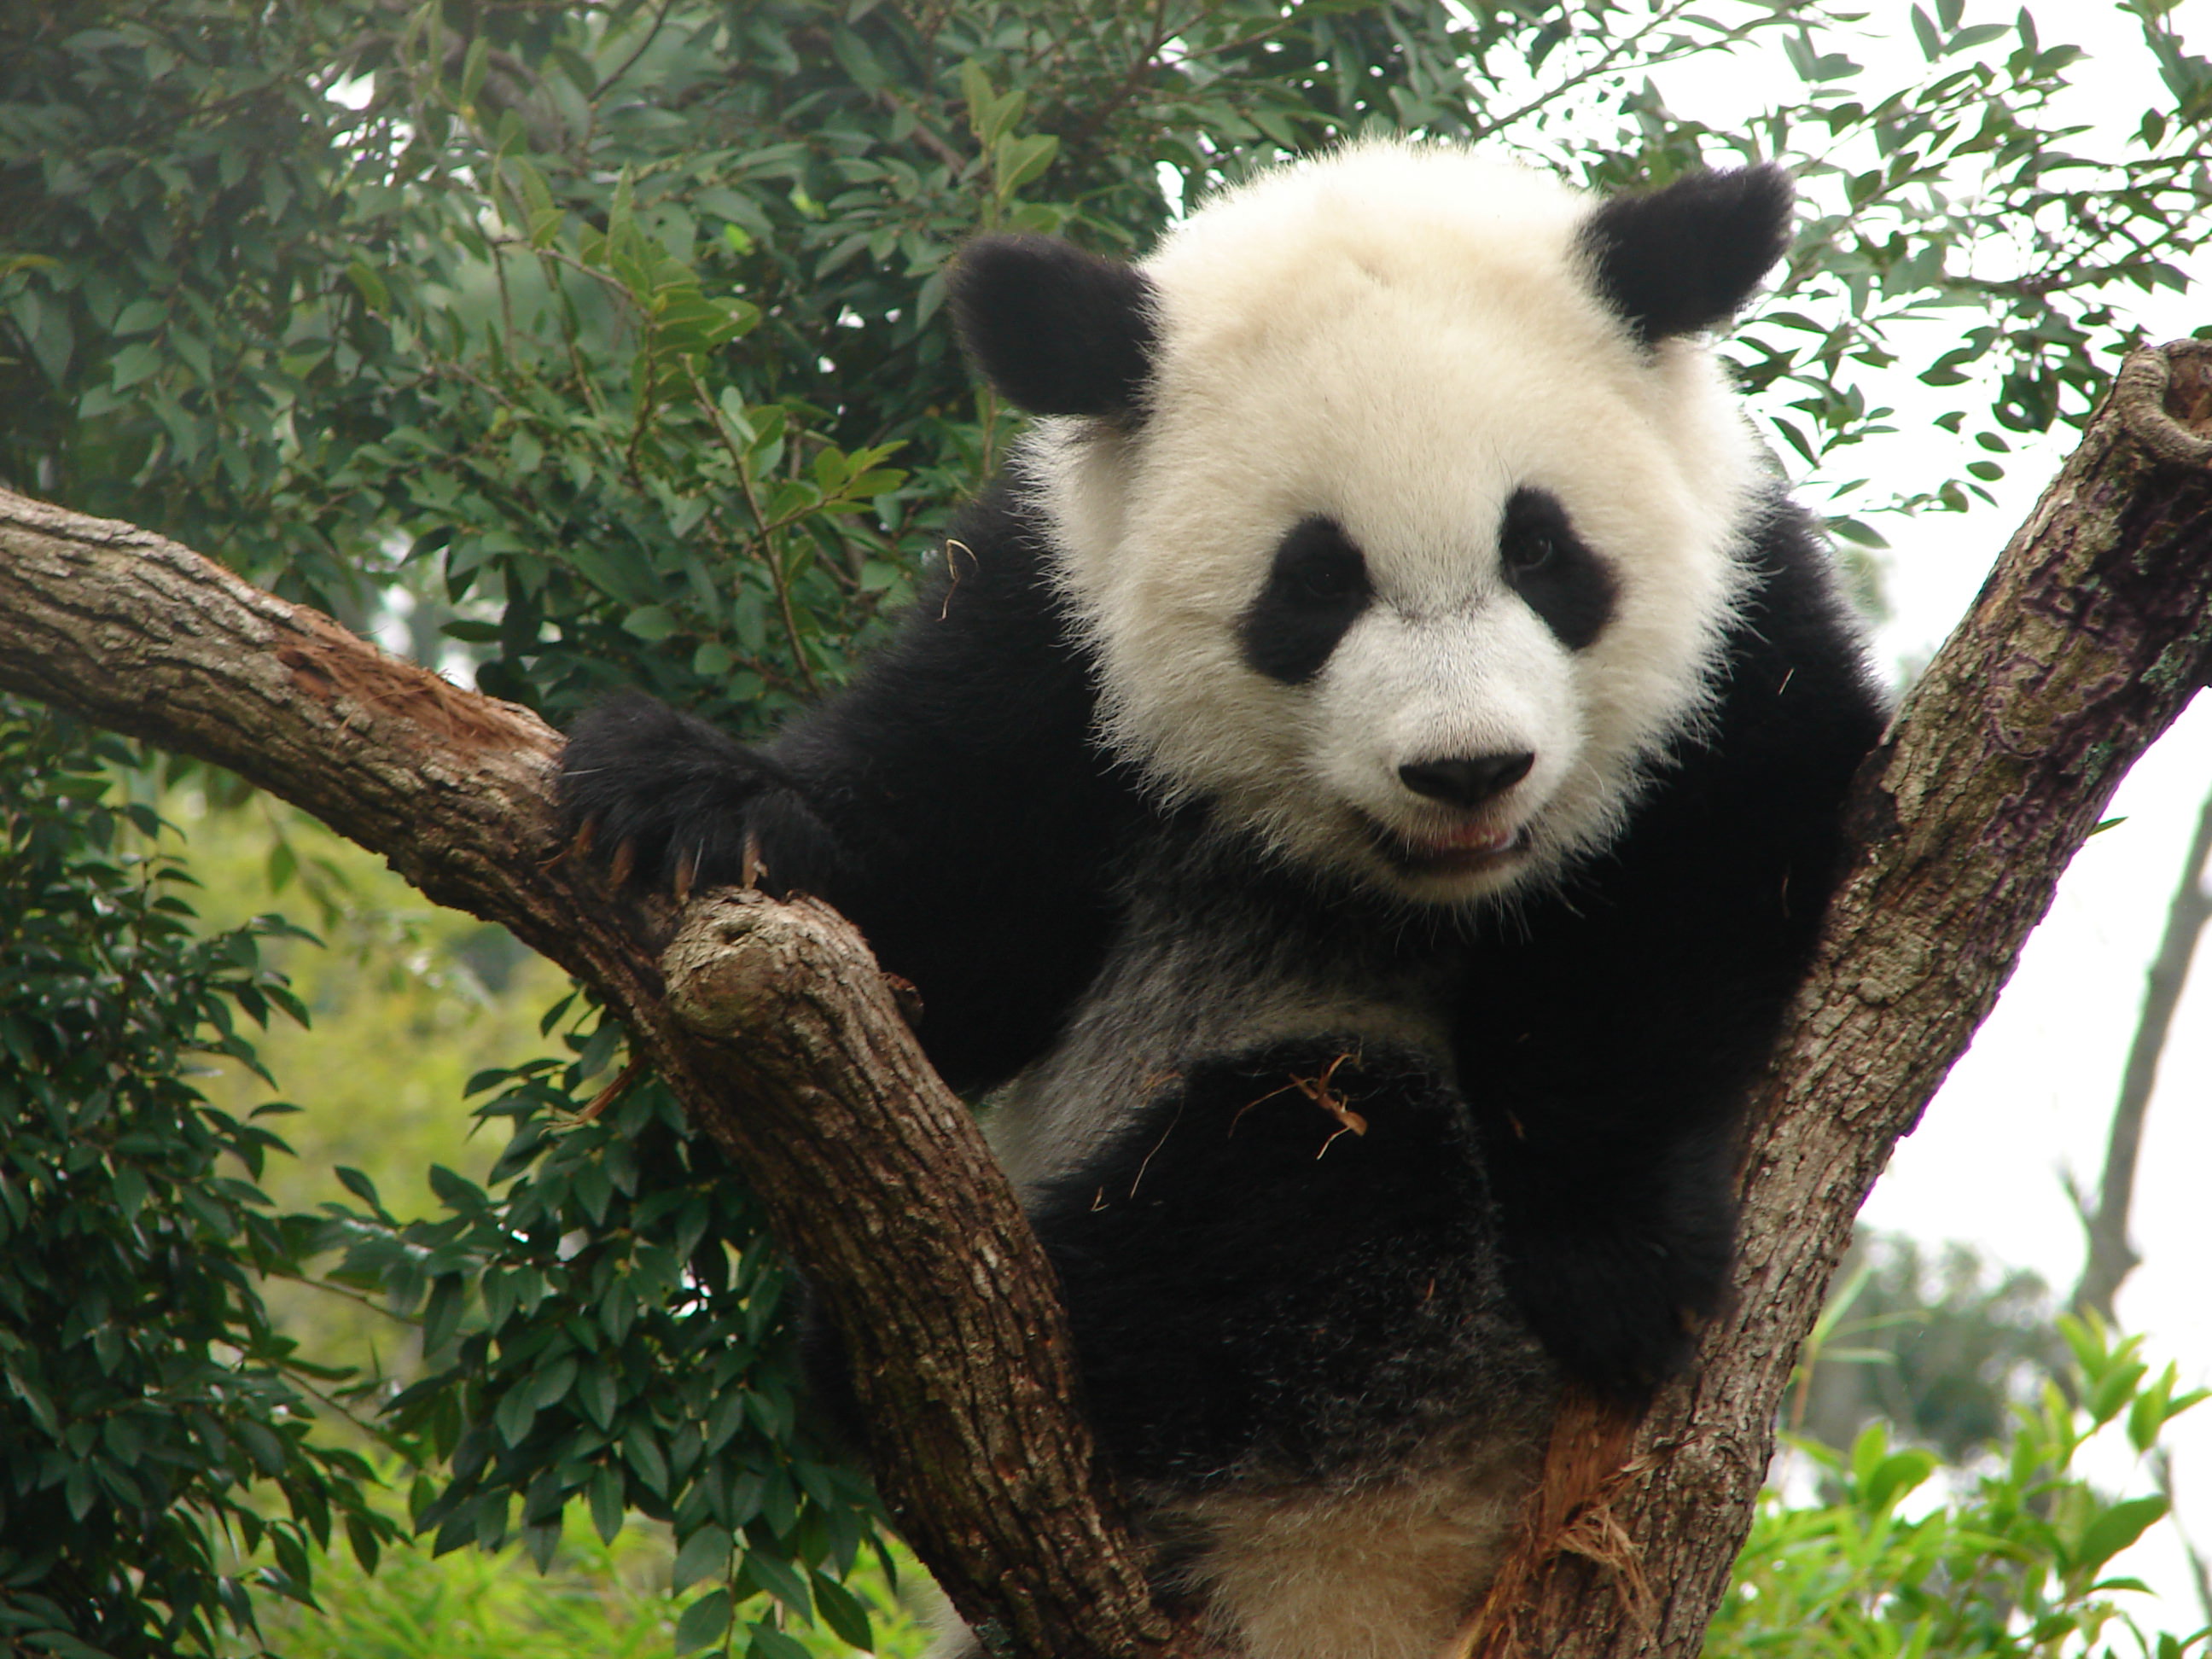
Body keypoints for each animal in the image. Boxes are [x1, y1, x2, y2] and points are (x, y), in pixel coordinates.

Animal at [560, 141, 1887, 1659]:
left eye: (1544, 554)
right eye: (1313, 585)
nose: (1469, 769)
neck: (1414, 882)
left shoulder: (1745, 621)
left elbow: (1723, 869)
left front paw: (1614, 1254)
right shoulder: (1054, 632)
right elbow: (944, 915)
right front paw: (685, 798)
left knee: (1321, 1175)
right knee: (1305, 1182)